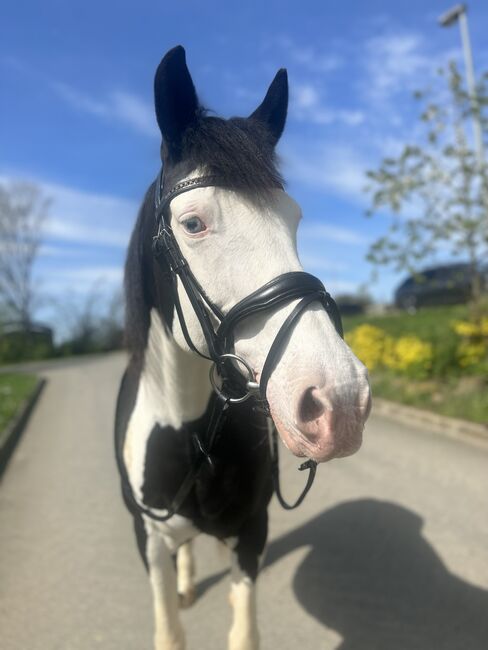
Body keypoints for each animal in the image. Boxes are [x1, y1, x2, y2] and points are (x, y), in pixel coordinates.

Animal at [115, 45, 370, 648]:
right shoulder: (148, 541)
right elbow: (169, 628)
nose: (341, 400)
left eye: (294, 218)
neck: (186, 431)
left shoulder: (253, 532)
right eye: (193, 223)